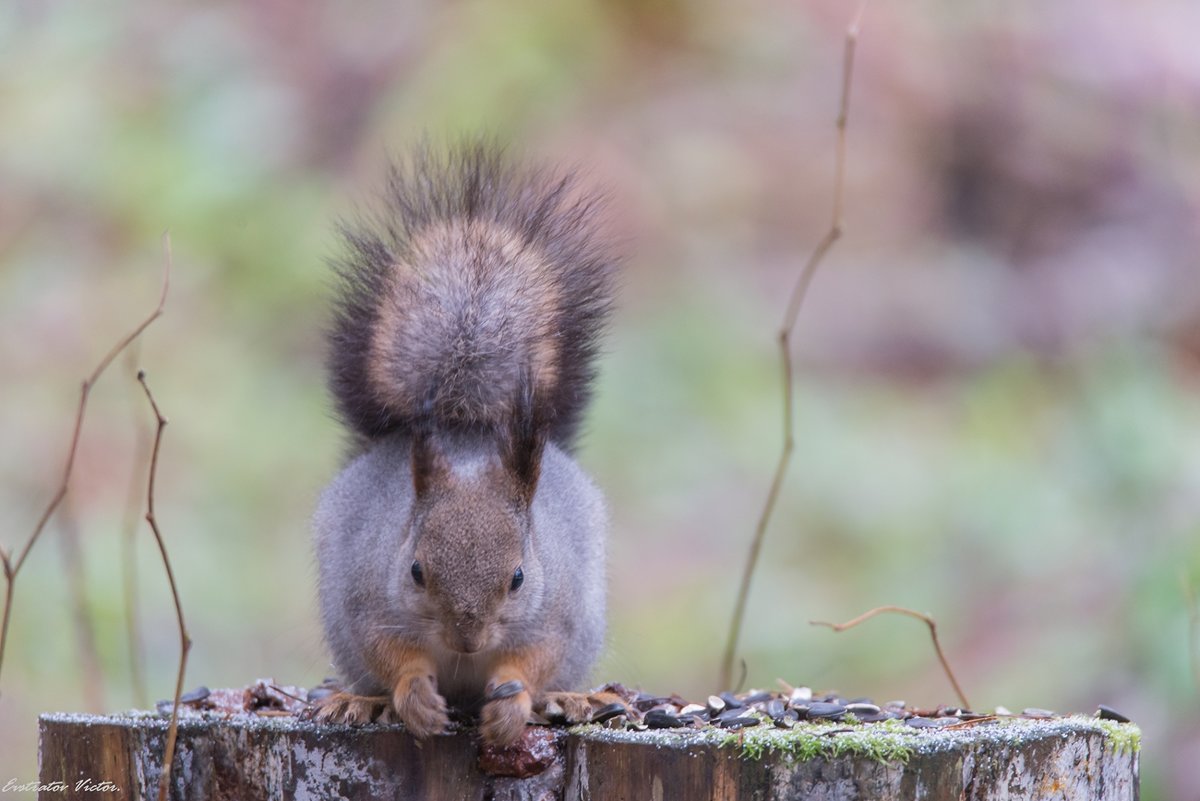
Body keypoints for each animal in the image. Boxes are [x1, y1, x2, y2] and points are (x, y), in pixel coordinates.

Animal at [314, 142, 619, 743]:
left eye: (518, 577)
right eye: (416, 570)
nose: (467, 638)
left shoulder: (556, 613)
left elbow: (534, 659)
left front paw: (512, 706)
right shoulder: (369, 602)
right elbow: (391, 655)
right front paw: (414, 698)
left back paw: (569, 698)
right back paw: (361, 701)